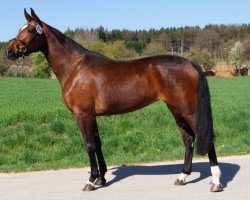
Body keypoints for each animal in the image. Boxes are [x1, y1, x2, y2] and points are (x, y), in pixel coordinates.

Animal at [5, 8, 223, 192]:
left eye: (31, 30)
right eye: (20, 28)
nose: (9, 51)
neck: (75, 67)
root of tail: (191, 63)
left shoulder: (82, 114)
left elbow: (89, 145)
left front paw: (91, 180)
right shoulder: (92, 116)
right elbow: (98, 143)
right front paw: (101, 178)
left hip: (189, 110)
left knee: (206, 138)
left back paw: (216, 181)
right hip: (175, 109)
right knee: (188, 139)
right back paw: (182, 177)